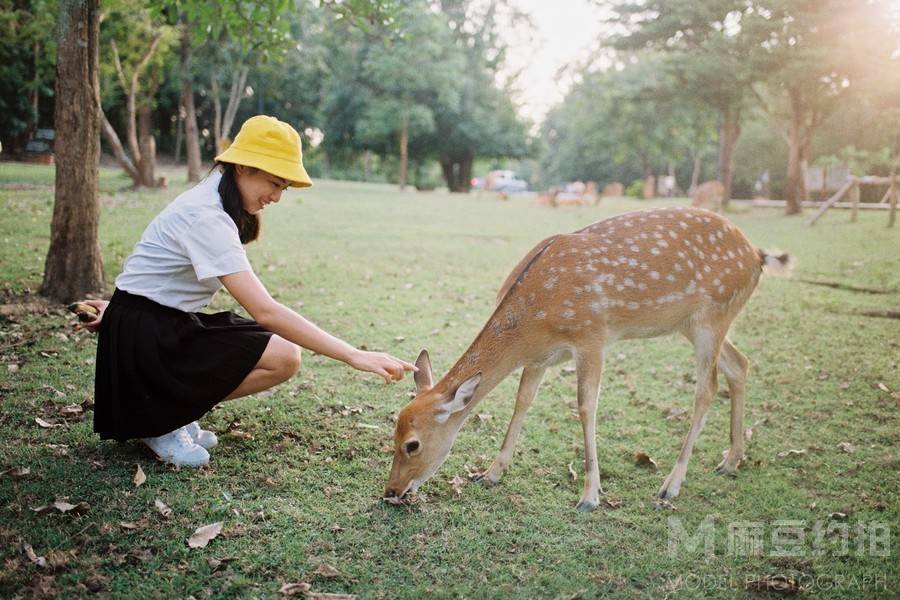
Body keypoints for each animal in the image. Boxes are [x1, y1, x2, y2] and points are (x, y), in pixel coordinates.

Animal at [384, 206, 792, 510]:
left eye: (412, 444)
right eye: (394, 432)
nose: (391, 491)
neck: (535, 320)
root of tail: (758, 255)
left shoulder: (592, 336)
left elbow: (585, 406)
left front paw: (590, 495)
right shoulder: (540, 357)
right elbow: (522, 401)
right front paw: (491, 473)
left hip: (713, 316)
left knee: (706, 389)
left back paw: (671, 485)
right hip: (695, 323)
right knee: (740, 365)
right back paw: (730, 461)